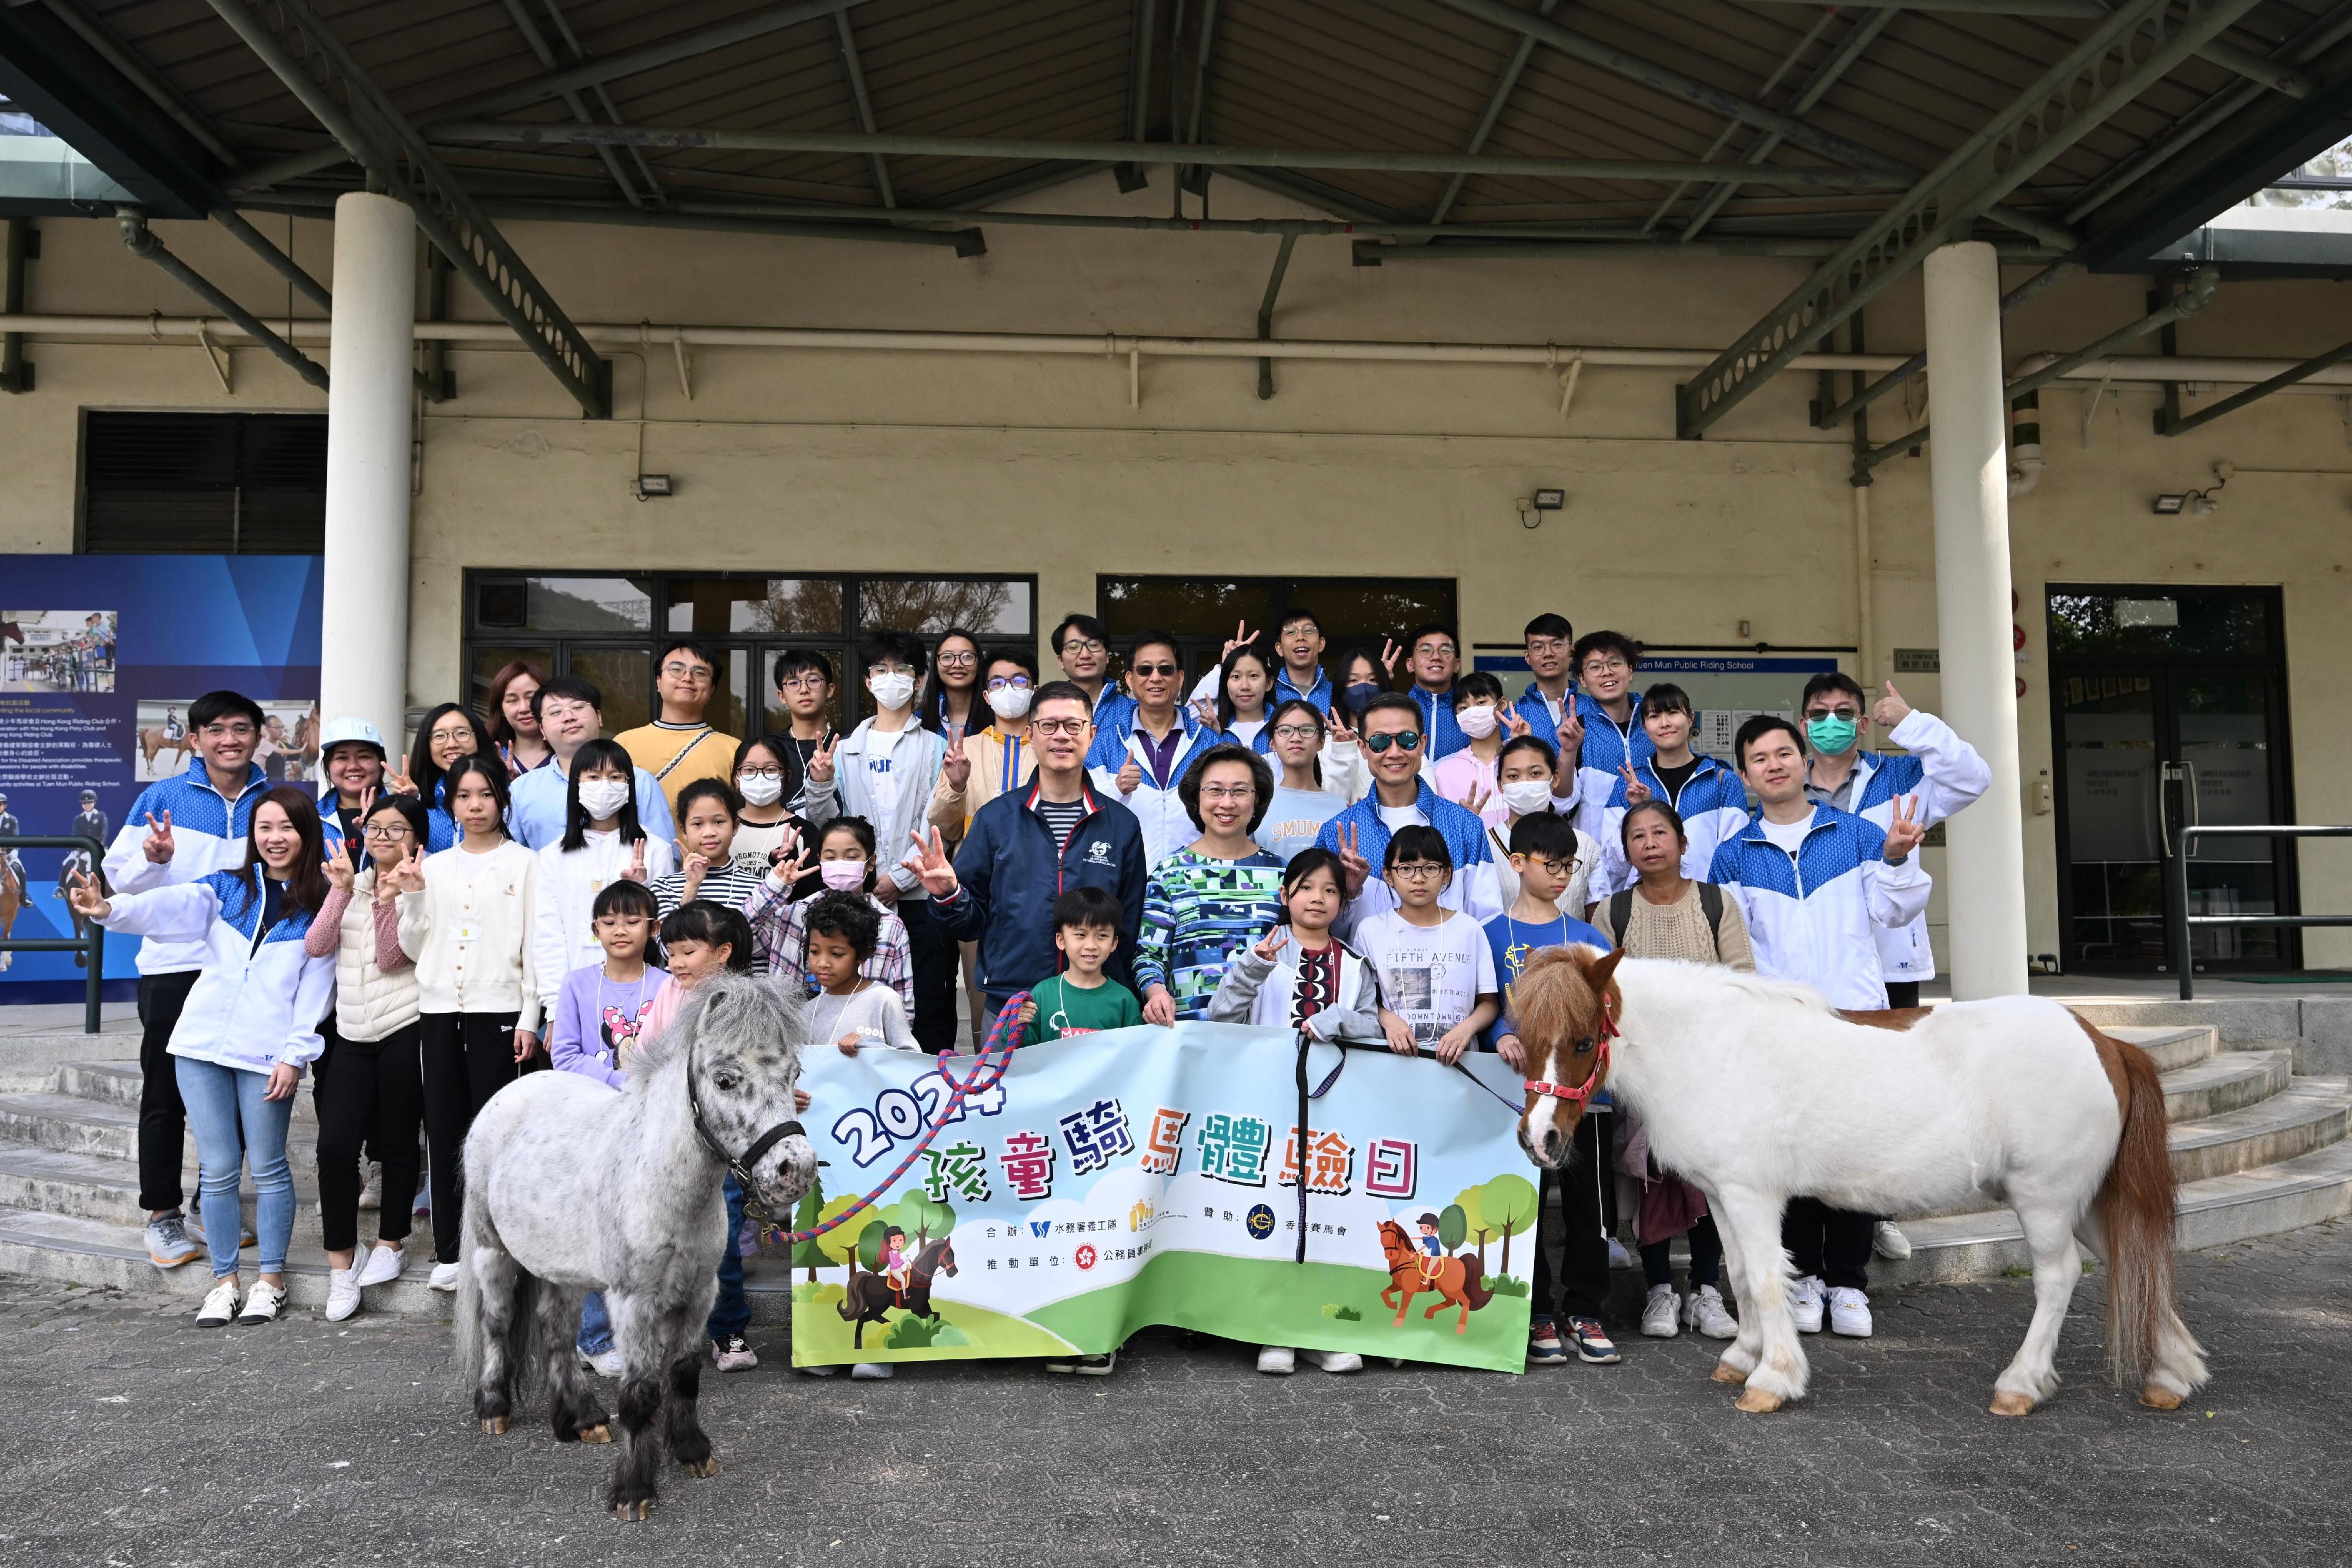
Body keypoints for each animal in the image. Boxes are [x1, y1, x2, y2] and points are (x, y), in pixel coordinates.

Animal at [456, 973, 818, 1514]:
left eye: (793, 1073)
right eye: (725, 1079)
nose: (795, 1170)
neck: (657, 1178)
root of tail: (512, 1091)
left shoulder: (699, 1293)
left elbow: (684, 1375)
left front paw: (691, 1452)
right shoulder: (633, 1301)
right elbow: (640, 1392)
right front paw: (633, 1490)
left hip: (560, 1268)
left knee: (555, 1331)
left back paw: (583, 1419)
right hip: (492, 1251)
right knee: (497, 1323)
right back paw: (495, 1408)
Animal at [1505, 945, 2201, 1420]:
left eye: (1583, 1040)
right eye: (1524, 1038)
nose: (1540, 1139)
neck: (1710, 1046)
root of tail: (2105, 1040)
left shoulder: (1752, 1197)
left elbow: (1765, 1279)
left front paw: (1773, 1379)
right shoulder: (1724, 1197)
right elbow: (1739, 1277)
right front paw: (1742, 1359)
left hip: (2046, 1201)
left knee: (2059, 1279)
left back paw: (2020, 1384)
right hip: (2088, 1202)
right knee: (2133, 1264)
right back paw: (2171, 1375)